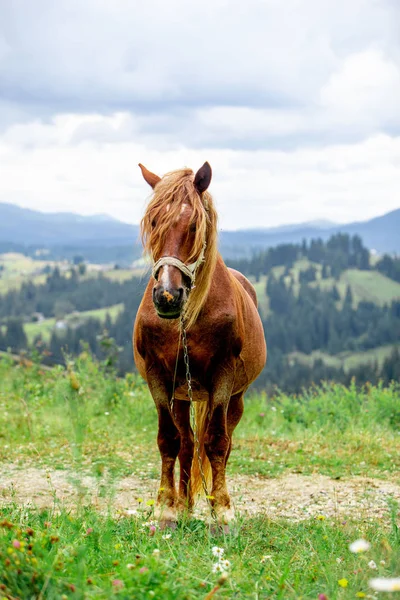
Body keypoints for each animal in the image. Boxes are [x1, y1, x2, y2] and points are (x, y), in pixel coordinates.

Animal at [133, 161, 268, 524]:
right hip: (182, 395)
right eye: (154, 221)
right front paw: (167, 508)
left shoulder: (223, 375)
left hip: (236, 396)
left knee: (223, 440)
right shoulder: (158, 377)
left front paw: (222, 511)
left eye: (194, 225)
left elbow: (217, 442)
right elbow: (169, 440)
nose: (167, 296)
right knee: (186, 443)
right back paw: (185, 505)